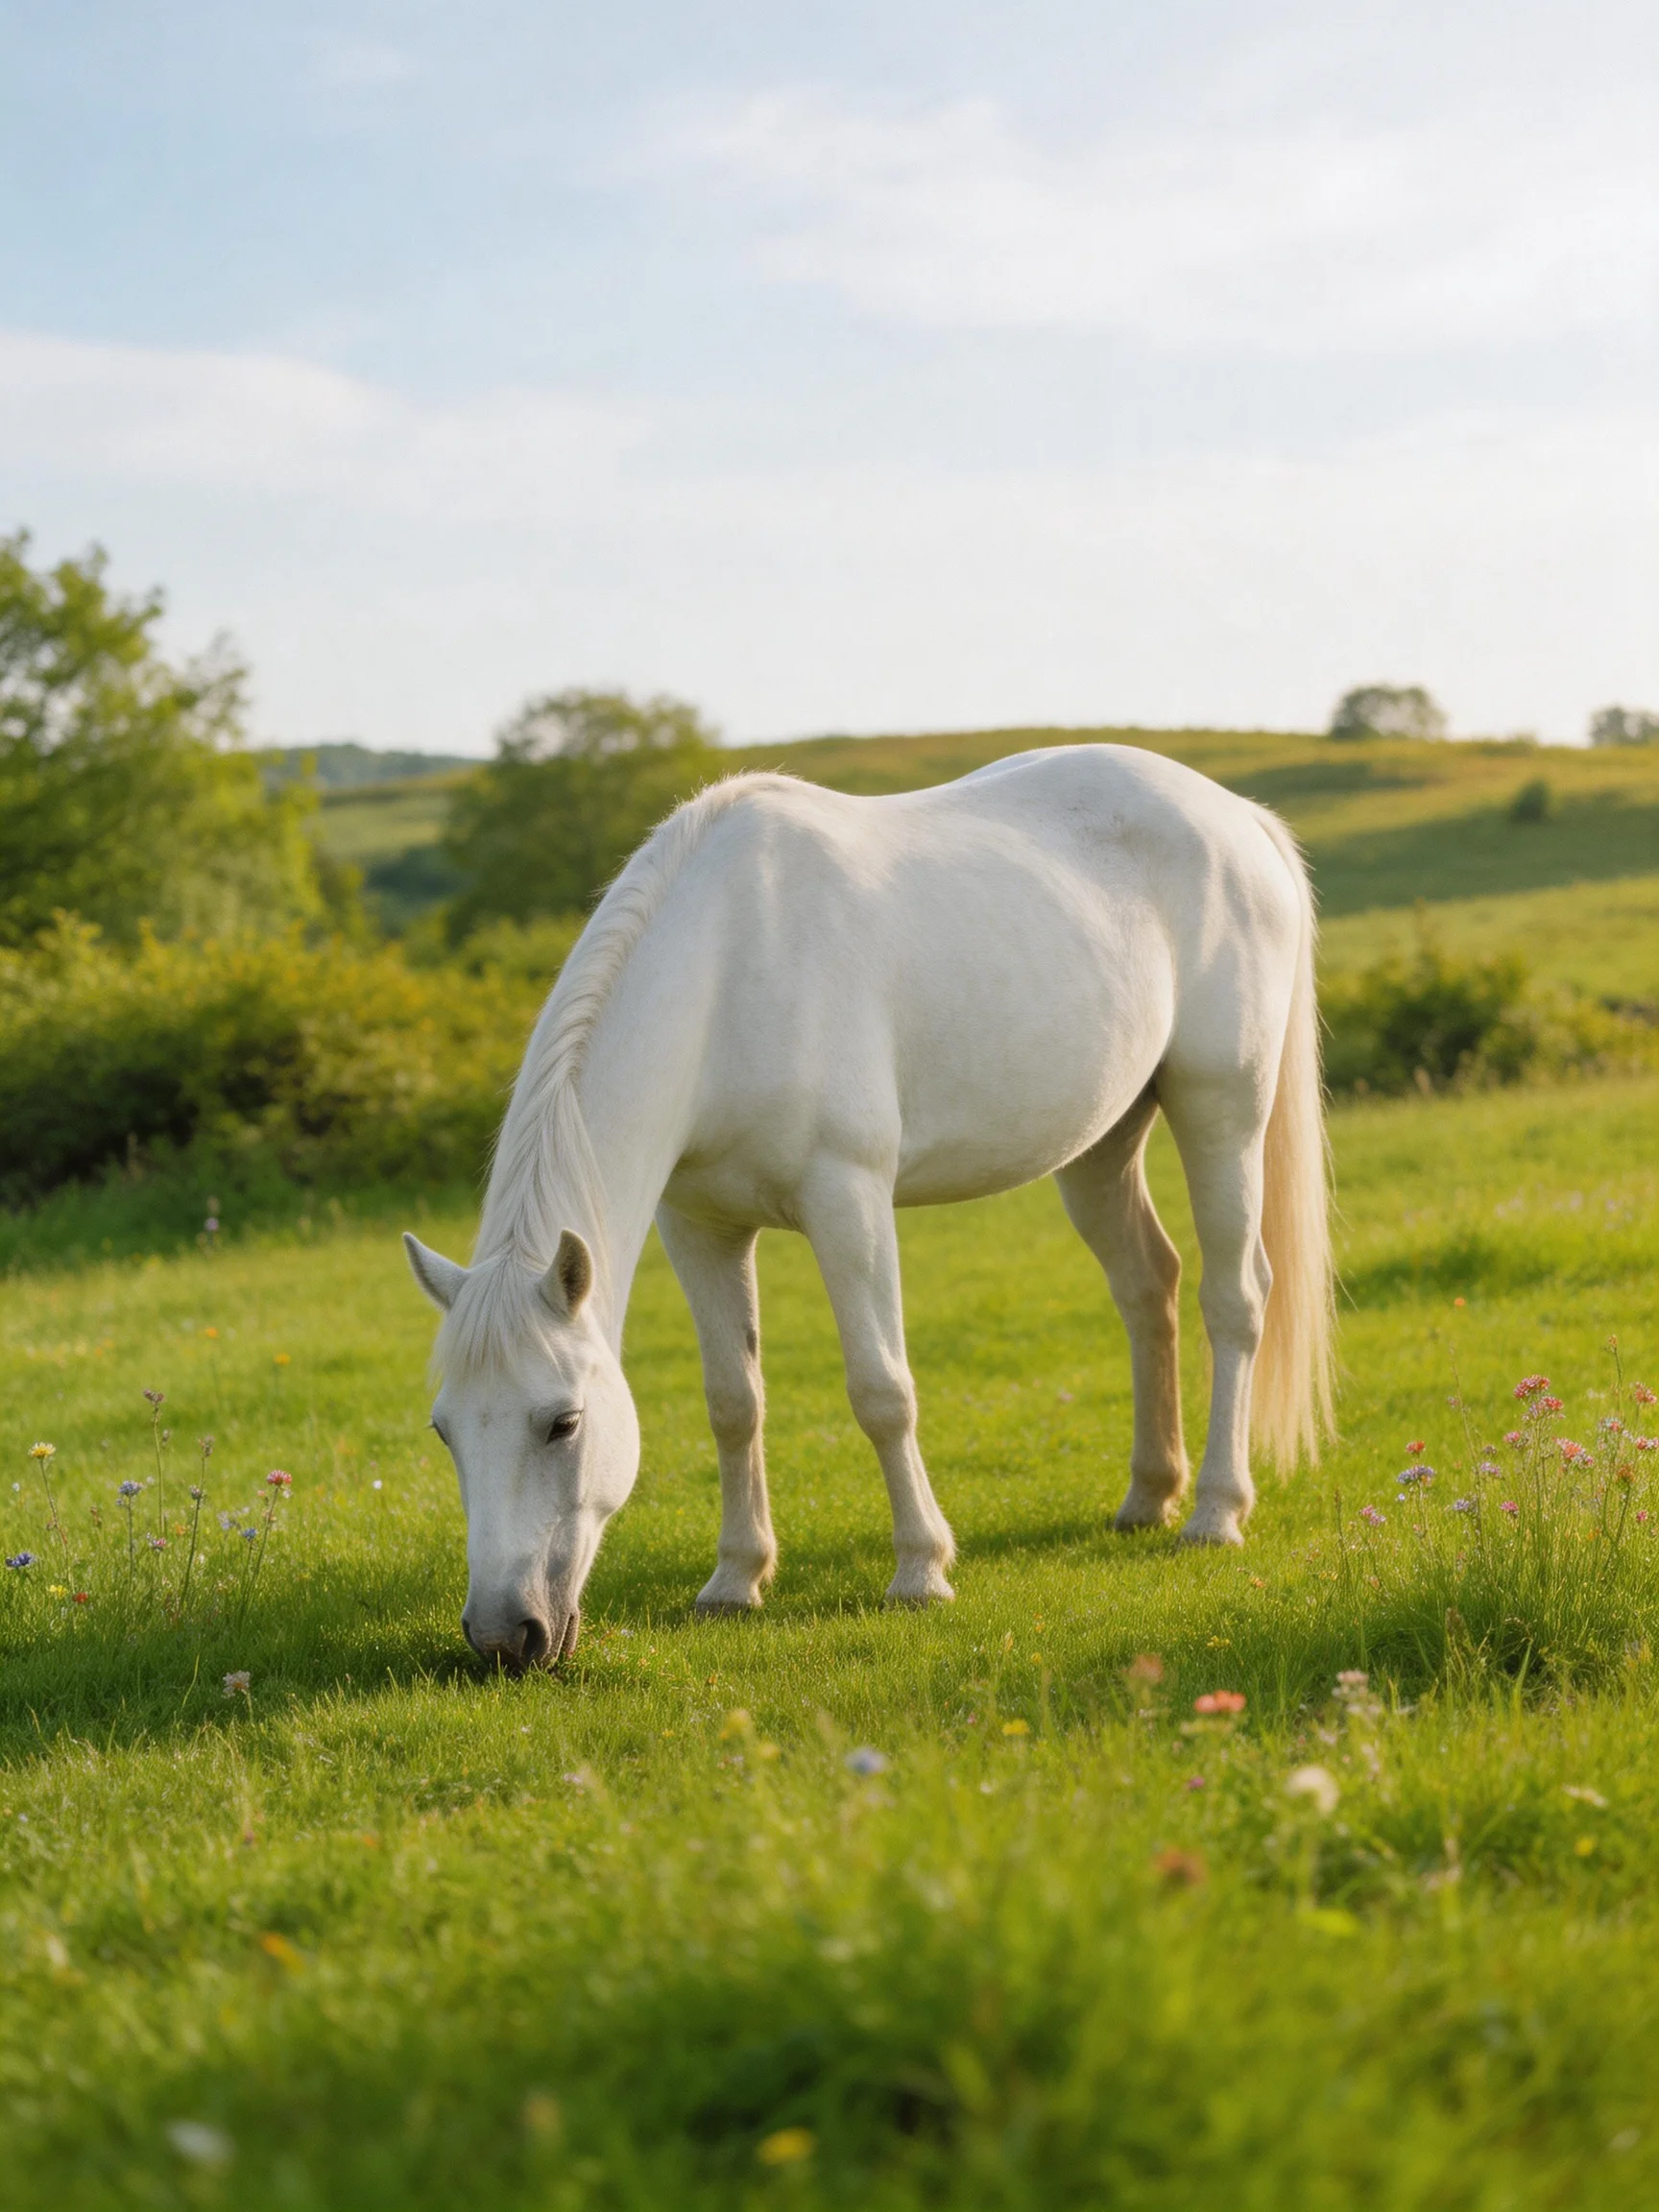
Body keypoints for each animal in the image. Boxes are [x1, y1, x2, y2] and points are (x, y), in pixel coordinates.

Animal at [405, 744, 1334, 1669]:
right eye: (444, 1430)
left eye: (562, 1423)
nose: (504, 1637)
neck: (727, 976)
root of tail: (1238, 816)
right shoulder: (700, 1227)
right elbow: (732, 1401)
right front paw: (735, 1578)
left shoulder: (847, 1200)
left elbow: (881, 1389)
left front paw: (921, 1568)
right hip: (1102, 1143)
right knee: (1149, 1287)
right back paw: (1148, 1496)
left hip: (1222, 1109)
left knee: (1234, 1297)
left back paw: (1215, 1511)